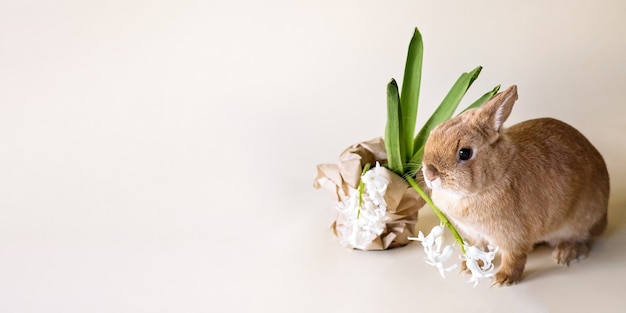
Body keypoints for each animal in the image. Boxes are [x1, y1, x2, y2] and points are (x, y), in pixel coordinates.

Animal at [422, 85, 608, 286]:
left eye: (465, 153)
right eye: (432, 134)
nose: (430, 174)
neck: (498, 173)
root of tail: (604, 217)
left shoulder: (512, 236)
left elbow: (513, 257)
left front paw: (503, 279)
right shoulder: (475, 235)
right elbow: (479, 249)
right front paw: (469, 267)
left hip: (578, 221)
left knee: (581, 239)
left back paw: (565, 254)